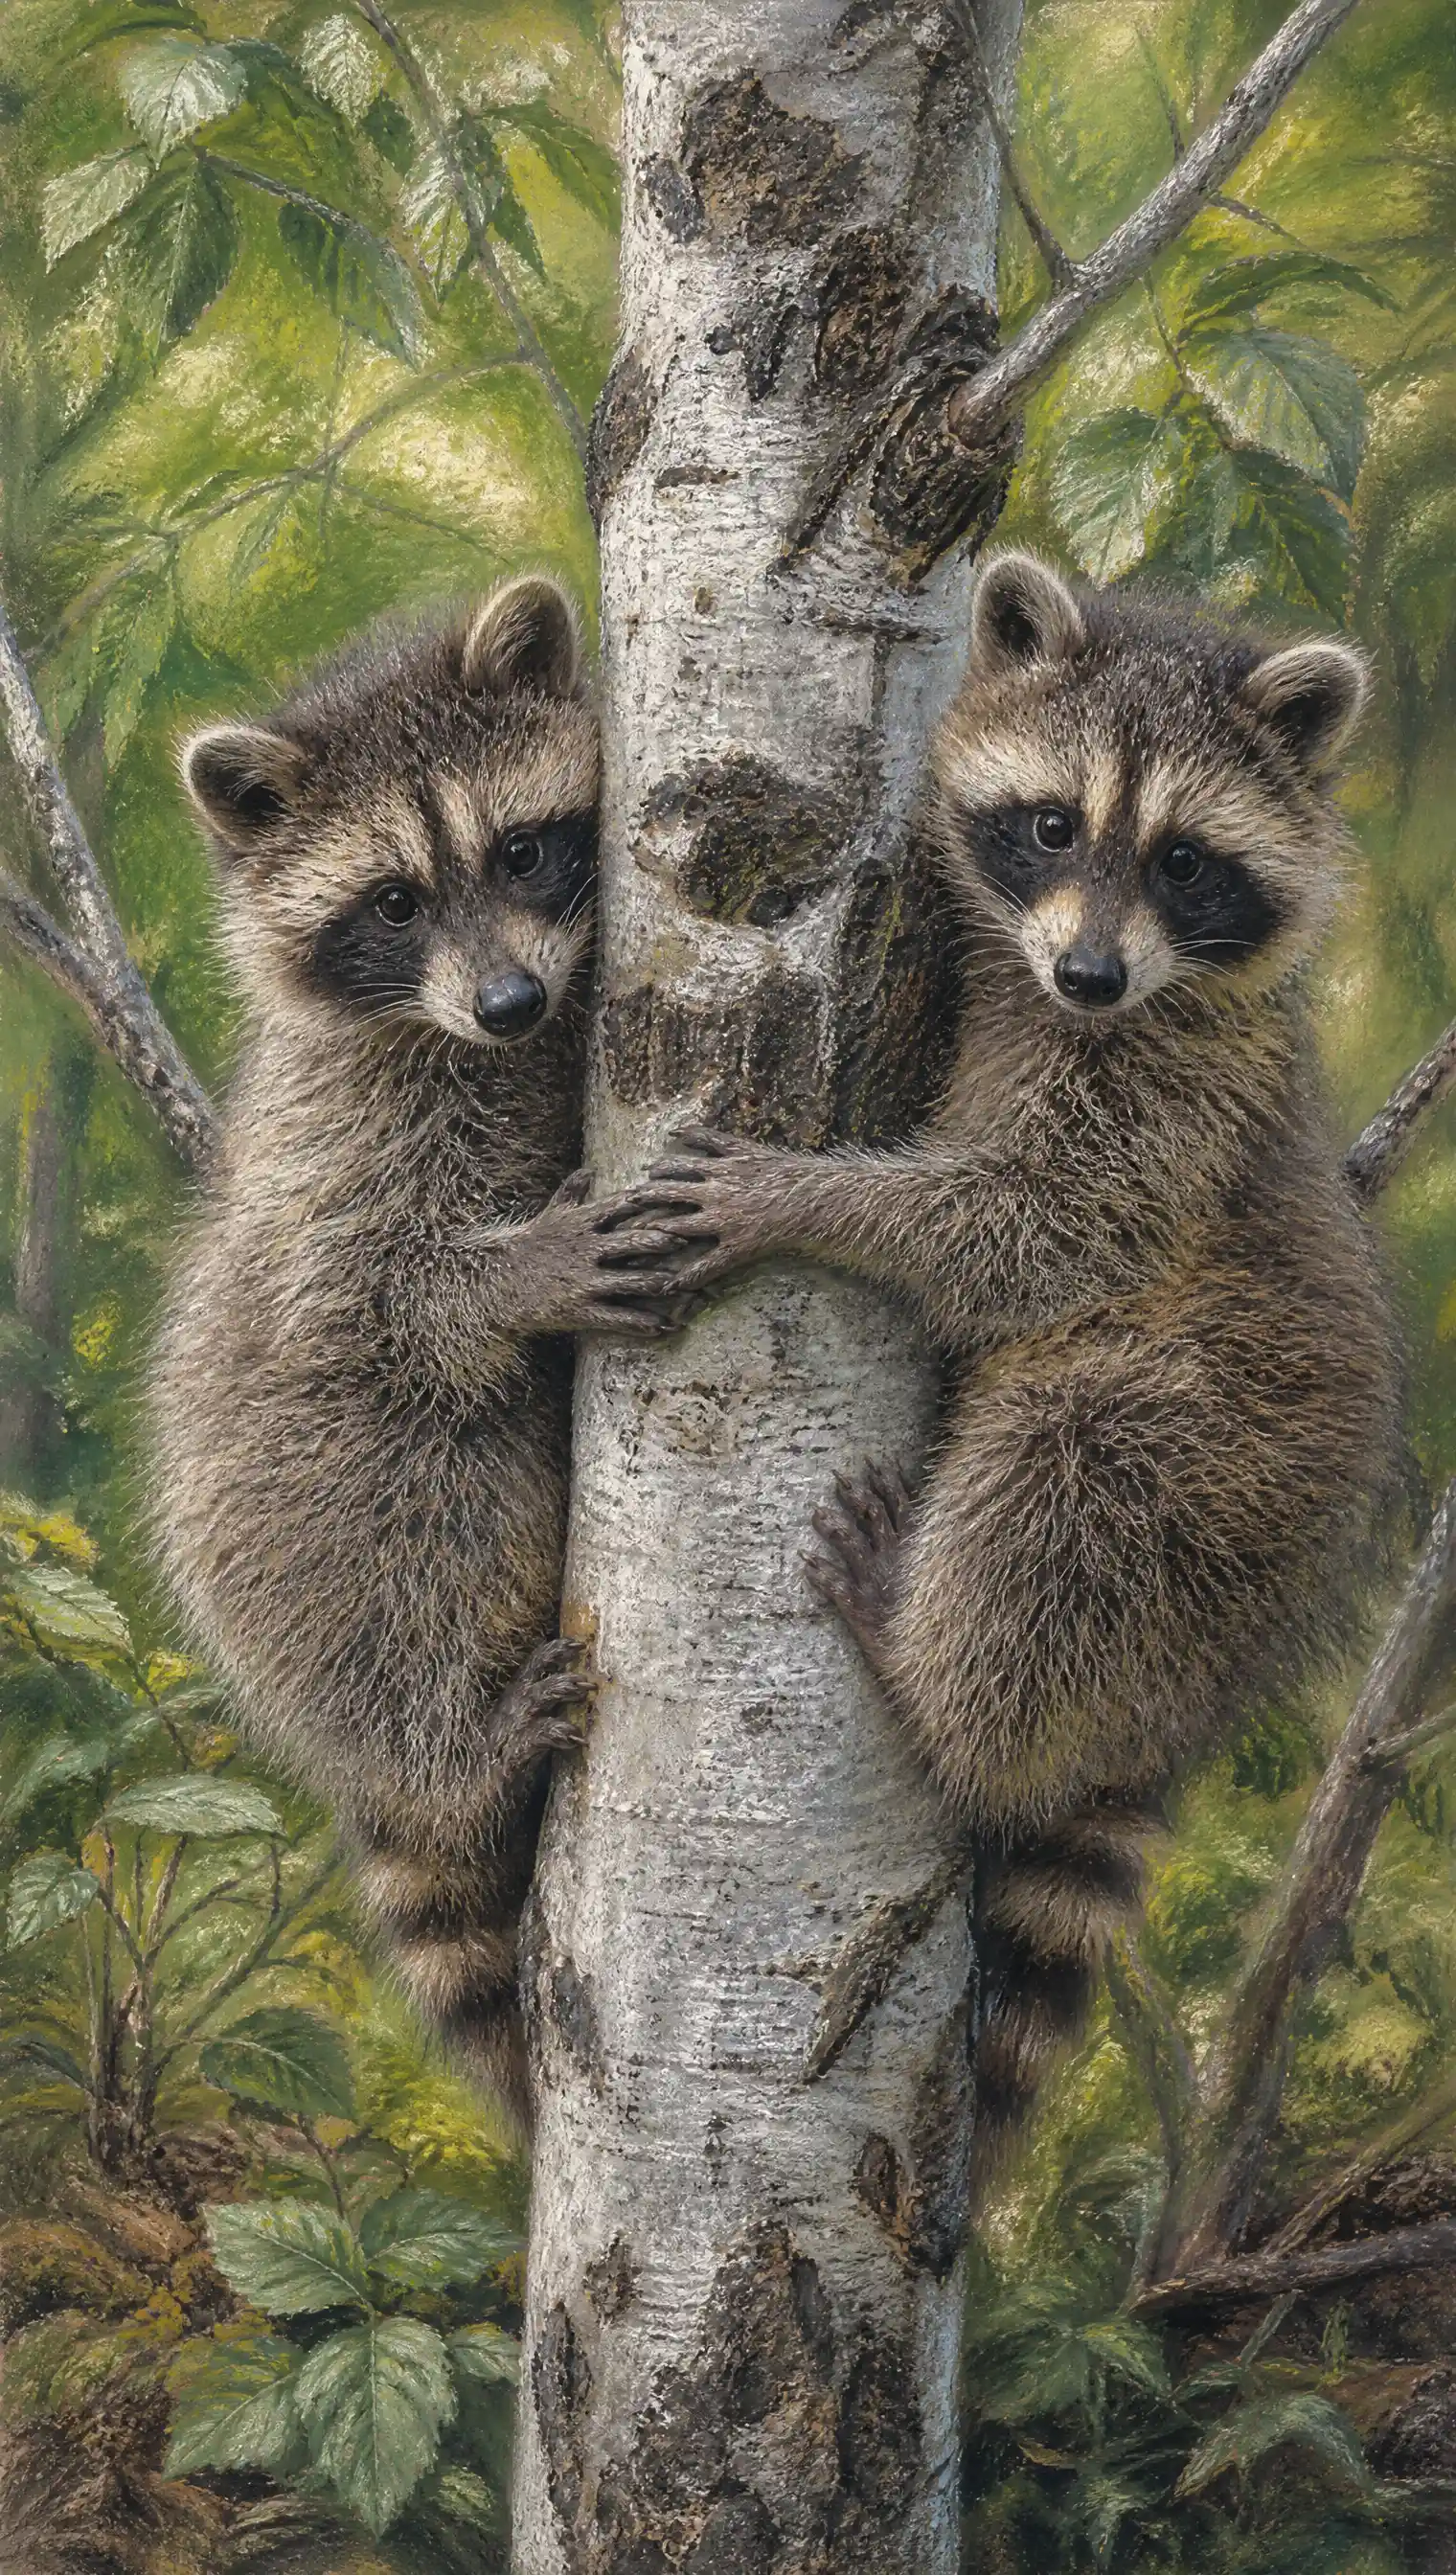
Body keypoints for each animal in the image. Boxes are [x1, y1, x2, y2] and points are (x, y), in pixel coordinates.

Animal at [149, 579, 687, 2121]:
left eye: (519, 852)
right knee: (425, 1512)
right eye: (391, 902)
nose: (507, 1004)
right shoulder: (343, 1141)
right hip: (300, 1517)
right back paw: (456, 1748)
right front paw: (513, 1279)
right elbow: (366, 1299)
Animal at [612, 551, 1403, 2195]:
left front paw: (811, 1199)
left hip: (1218, 1452)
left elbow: (1031, 1234)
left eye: (1184, 862)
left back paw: (933, 1688)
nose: (1092, 972)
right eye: (1051, 826)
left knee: (1066, 1473)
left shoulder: (1168, 1106)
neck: (1080, 1006)